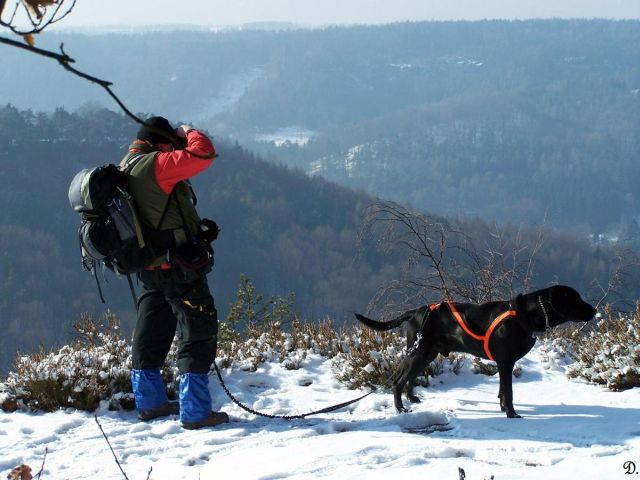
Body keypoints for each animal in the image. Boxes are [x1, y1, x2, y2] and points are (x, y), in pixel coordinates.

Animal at [356, 284, 596, 416]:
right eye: (576, 298)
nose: (594, 310)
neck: (525, 314)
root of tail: (416, 312)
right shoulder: (506, 362)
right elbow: (508, 392)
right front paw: (512, 414)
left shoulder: (503, 363)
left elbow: (501, 392)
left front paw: (503, 409)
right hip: (419, 352)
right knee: (398, 380)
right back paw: (400, 408)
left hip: (427, 353)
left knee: (410, 378)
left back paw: (412, 399)